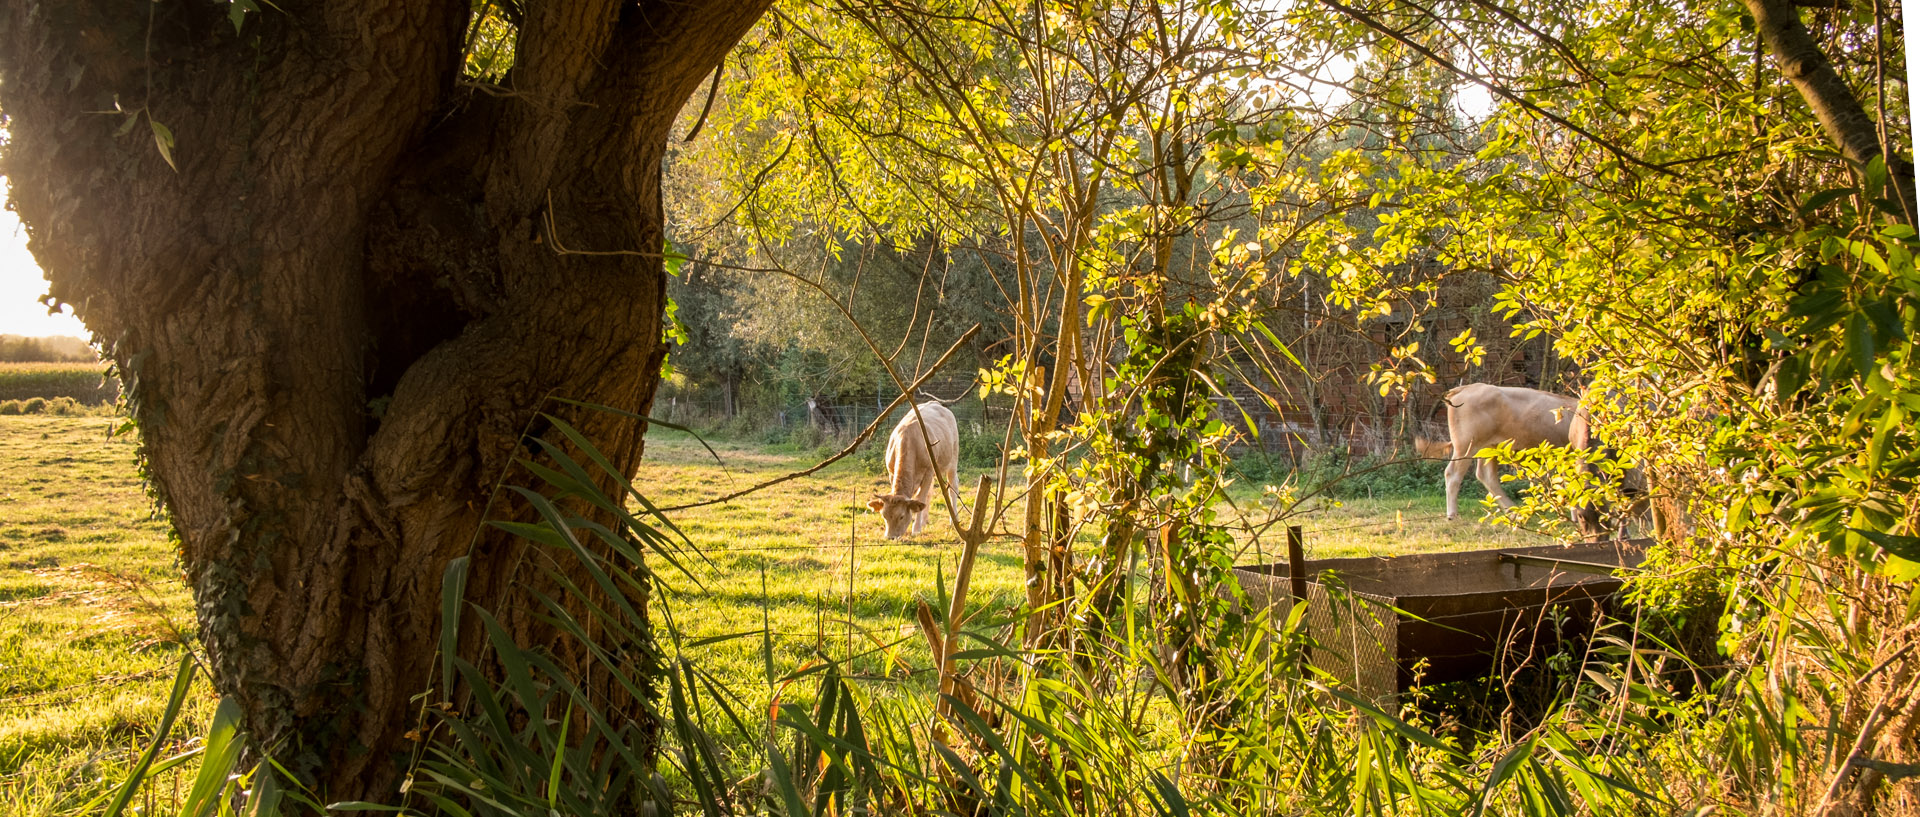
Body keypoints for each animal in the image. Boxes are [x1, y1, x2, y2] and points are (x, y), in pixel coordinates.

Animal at [871, 400, 960, 540]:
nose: (890, 537)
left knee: (953, 487)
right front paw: (919, 525)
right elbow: (922, 498)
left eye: (901, 516)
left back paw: (953, 520)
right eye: (884, 515)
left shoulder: (928, 472)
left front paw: (916, 529)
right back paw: (924, 521)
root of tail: (936, 403)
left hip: (952, 460)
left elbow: (920, 499)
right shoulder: (891, 472)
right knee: (929, 493)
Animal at [1420, 381, 1582, 517]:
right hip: (1466, 446)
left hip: (1489, 448)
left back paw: (1512, 511)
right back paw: (1453, 514)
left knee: (1486, 476)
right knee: (1453, 474)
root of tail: (1467, 387)